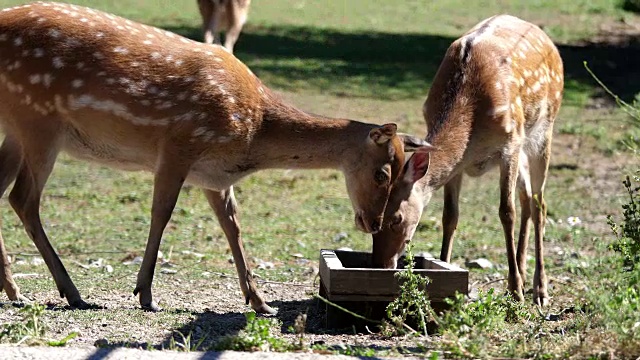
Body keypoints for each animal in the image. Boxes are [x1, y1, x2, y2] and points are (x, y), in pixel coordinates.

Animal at [0, 2, 432, 312]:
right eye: (382, 174)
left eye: (401, 178)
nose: (373, 223)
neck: (253, 133)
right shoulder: (180, 143)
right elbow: (162, 214)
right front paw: (145, 294)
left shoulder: (214, 176)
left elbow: (233, 227)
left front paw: (260, 303)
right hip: (39, 122)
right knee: (23, 198)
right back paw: (70, 291)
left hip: (17, 130)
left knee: (3, 193)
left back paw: (17, 290)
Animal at [372, 14, 564, 306]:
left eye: (396, 219)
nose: (381, 264)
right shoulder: (459, 166)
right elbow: (450, 215)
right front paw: (444, 266)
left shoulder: (509, 144)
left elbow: (506, 212)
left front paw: (515, 291)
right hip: (523, 147)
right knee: (527, 199)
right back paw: (522, 271)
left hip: (542, 131)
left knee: (538, 203)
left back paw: (539, 289)